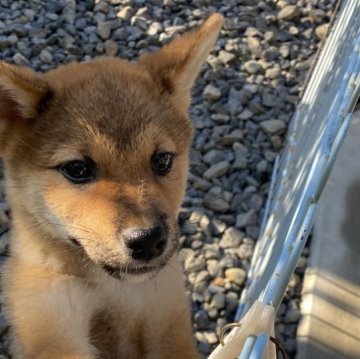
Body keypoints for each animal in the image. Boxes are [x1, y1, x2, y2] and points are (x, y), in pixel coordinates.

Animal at [0, 11, 224, 359]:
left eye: (162, 160)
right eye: (77, 169)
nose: (148, 240)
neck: (116, 291)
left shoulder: (168, 317)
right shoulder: (51, 320)